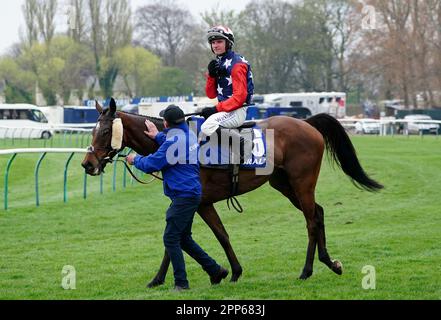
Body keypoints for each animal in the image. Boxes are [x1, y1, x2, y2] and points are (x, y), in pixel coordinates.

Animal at [81, 100, 382, 288]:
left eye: (105, 130)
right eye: (93, 130)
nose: (87, 164)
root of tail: (306, 123)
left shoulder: (199, 202)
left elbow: (196, 237)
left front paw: (226, 272)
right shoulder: (191, 203)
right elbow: (185, 239)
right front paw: (226, 272)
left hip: (302, 182)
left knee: (311, 220)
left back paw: (307, 270)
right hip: (284, 184)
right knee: (318, 213)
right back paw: (330, 263)